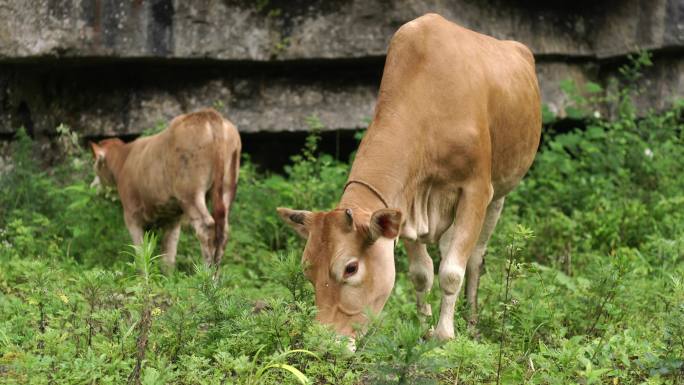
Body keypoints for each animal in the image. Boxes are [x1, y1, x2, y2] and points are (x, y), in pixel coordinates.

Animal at [89, 108, 242, 270]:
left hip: (190, 193)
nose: (93, 185)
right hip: (227, 187)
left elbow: (141, 256)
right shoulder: (172, 218)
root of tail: (208, 114)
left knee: (205, 227)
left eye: (96, 164)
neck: (124, 159)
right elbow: (168, 257)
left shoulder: (131, 214)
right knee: (223, 230)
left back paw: (206, 274)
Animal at [276, 13, 540, 340]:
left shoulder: (476, 191)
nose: (326, 341)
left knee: (476, 257)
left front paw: (445, 335)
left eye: (350, 268)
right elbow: (421, 274)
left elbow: (451, 272)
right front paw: (423, 329)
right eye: (307, 270)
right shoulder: (407, 206)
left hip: (500, 194)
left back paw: (472, 321)